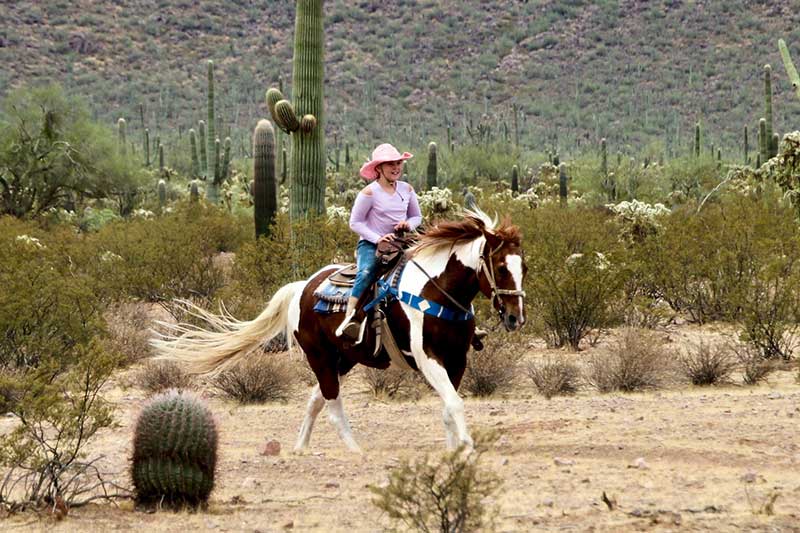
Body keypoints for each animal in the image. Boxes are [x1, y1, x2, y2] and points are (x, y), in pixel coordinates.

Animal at [152, 210, 524, 450]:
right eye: (500, 266)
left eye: (525, 266)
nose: (515, 318)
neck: (435, 290)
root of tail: (301, 287)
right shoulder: (427, 357)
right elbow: (454, 403)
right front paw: (466, 445)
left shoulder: (456, 358)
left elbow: (450, 405)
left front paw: (454, 448)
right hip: (319, 355)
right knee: (331, 401)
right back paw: (353, 449)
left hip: (345, 358)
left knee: (316, 398)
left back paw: (300, 448)